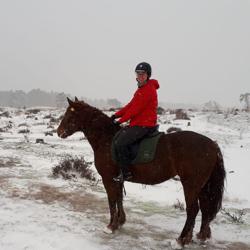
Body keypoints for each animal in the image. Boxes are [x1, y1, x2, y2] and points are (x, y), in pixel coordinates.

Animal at [57, 97, 226, 246]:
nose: (59, 132)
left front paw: (110, 226)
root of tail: (212, 144)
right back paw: (199, 236)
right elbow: (119, 198)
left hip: (191, 185)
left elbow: (111, 201)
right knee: (204, 208)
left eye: (70, 114)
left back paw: (181, 240)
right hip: (203, 187)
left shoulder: (108, 178)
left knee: (193, 210)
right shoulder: (118, 179)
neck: (107, 139)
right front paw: (120, 222)